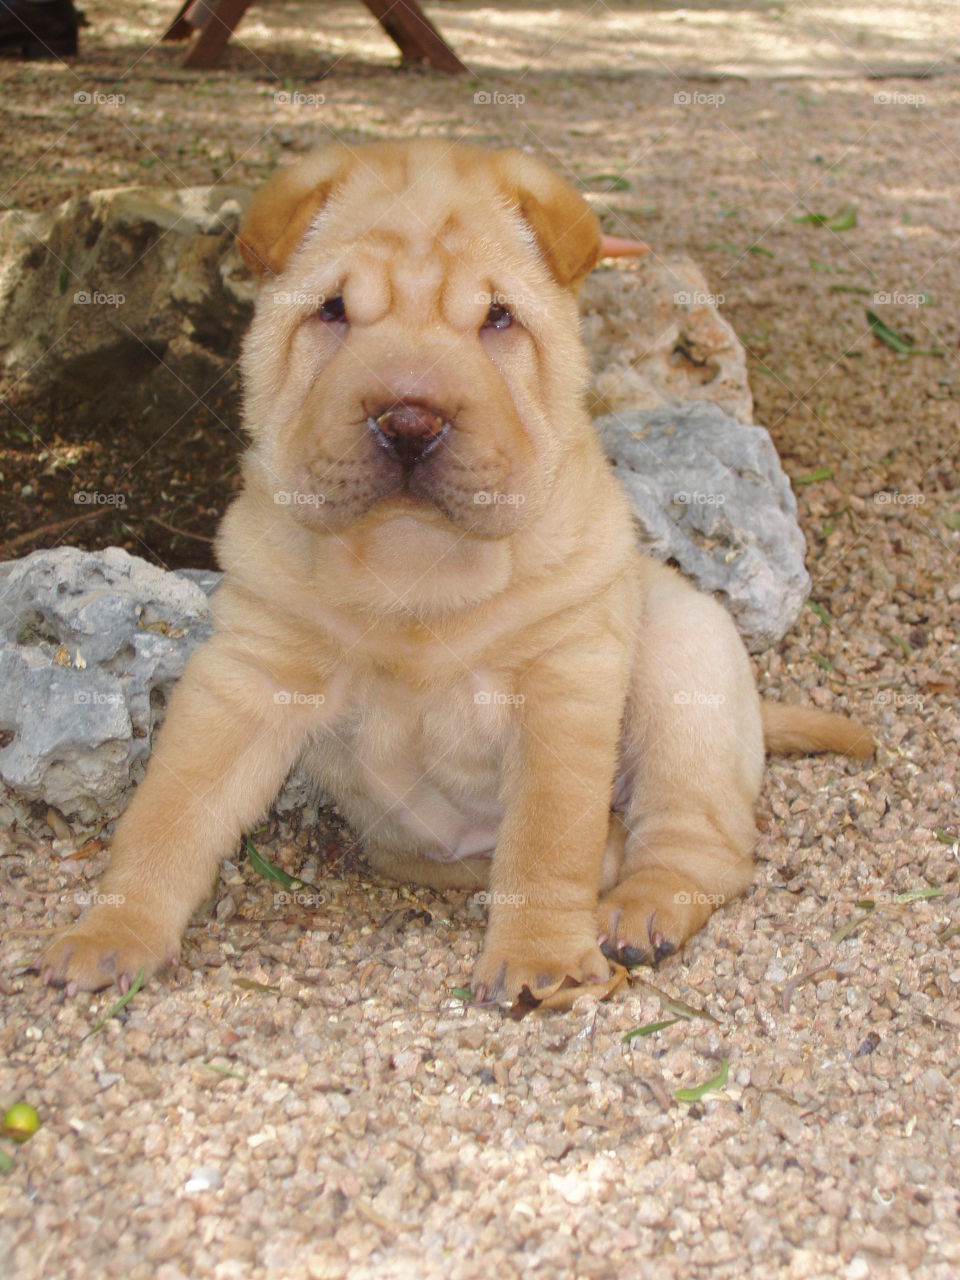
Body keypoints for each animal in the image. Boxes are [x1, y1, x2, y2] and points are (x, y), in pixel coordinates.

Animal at [41, 140, 875, 998]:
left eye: (497, 318)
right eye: (333, 311)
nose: (410, 419)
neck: (412, 561)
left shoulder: (562, 681)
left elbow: (548, 834)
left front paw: (541, 957)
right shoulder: (245, 675)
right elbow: (168, 810)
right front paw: (111, 932)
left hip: (685, 668)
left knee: (702, 844)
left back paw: (641, 910)